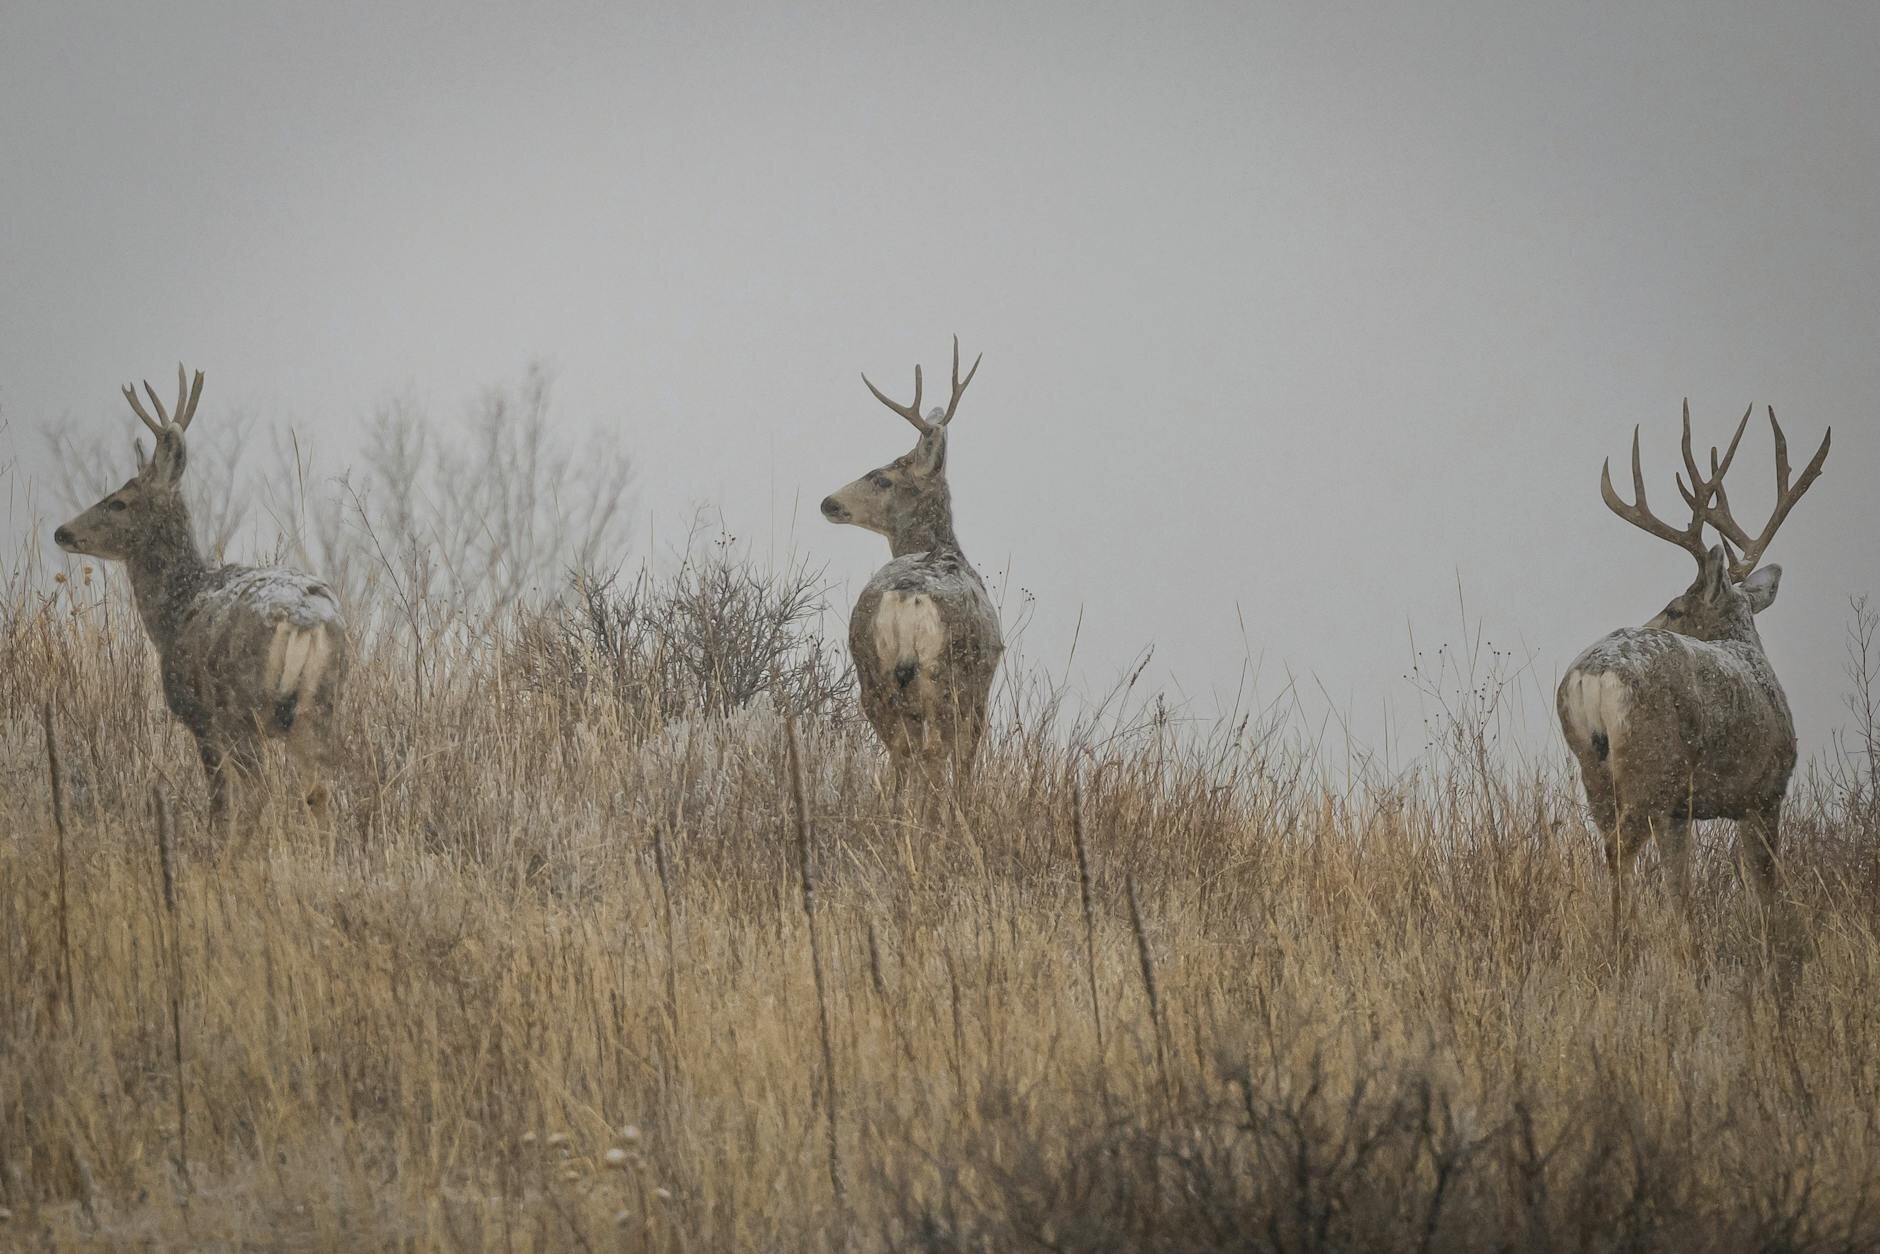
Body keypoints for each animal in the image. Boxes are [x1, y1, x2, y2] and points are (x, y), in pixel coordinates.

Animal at [52, 368, 349, 827]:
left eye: (119, 502)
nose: (62, 531)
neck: (176, 608)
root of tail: (305, 620)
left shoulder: (198, 716)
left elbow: (221, 803)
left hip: (243, 707)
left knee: (259, 793)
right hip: (322, 706)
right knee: (319, 792)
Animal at [819, 336, 1007, 804]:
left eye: (880, 478)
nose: (828, 502)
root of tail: (907, 595)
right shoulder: (981, 690)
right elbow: (967, 763)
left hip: (871, 673)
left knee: (901, 753)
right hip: (945, 679)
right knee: (933, 754)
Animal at [1556, 402, 1834, 921]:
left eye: (1674, 609)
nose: (1657, 617)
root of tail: (1592, 677)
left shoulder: (1680, 811)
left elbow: (1679, 890)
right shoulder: (1764, 791)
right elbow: (1765, 890)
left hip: (1597, 769)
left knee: (1609, 843)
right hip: (1650, 764)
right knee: (1621, 849)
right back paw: (1621, 936)